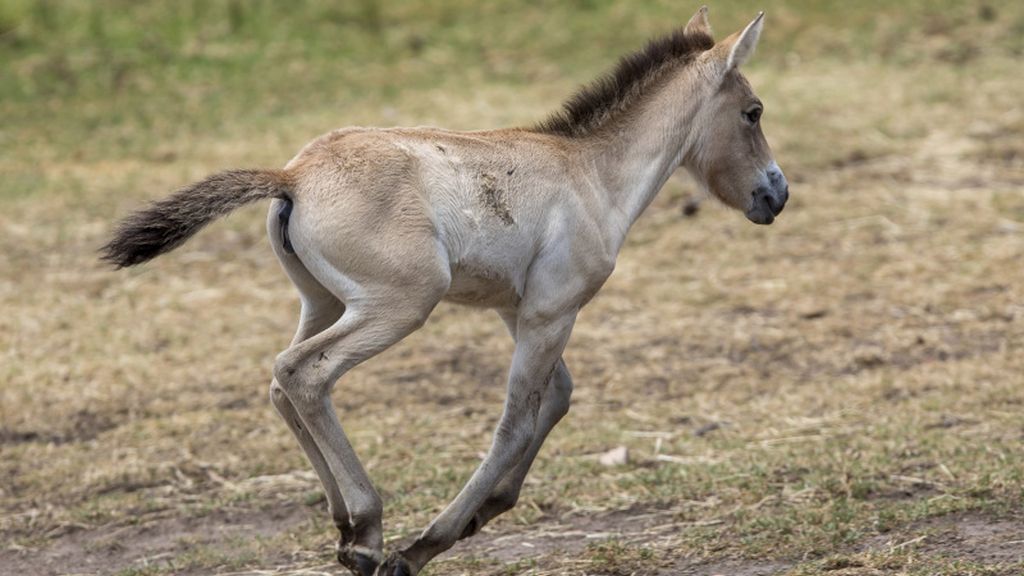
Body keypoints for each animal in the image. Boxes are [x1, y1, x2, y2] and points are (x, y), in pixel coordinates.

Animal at [102, 7, 788, 575]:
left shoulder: (521, 312)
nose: (776, 194)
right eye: (753, 112)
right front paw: (426, 543)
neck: (591, 173)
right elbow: (516, 419)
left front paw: (489, 509)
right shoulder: (552, 311)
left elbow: (557, 397)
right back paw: (367, 532)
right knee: (303, 371)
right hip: (401, 305)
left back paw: (345, 528)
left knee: (280, 382)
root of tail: (292, 175)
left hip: (324, 303)